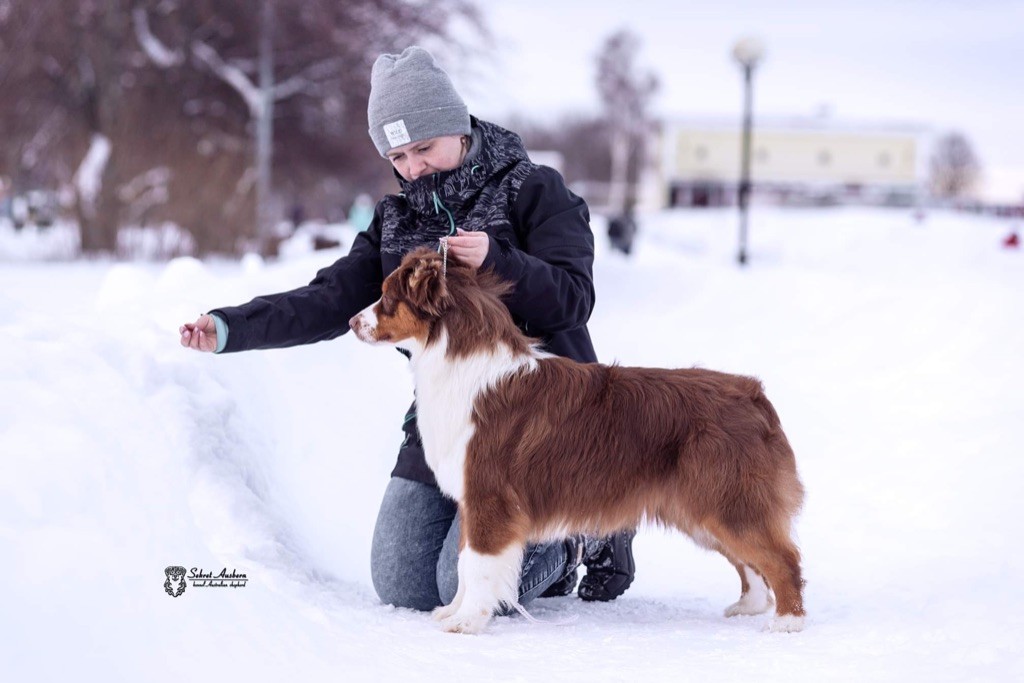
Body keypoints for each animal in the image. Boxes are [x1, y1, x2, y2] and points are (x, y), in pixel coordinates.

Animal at [352, 249, 806, 634]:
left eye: (387, 296)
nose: (354, 322)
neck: (459, 361)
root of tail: (753, 393)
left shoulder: (489, 496)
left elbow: (476, 564)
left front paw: (467, 621)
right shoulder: (471, 498)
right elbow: (464, 563)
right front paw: (453, 610)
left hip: (725, 498)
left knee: (783, 558)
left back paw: (787, 622)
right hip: (702, 507)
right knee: (751, 562)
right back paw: (749, 606)